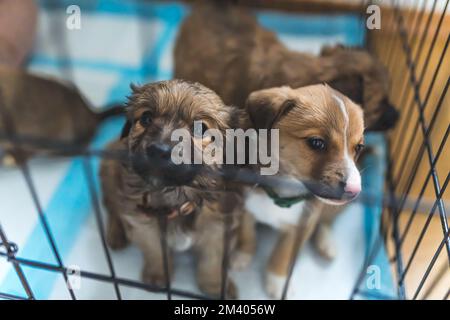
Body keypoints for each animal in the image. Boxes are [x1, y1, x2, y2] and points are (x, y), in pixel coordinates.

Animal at [100, 79, 250, 298]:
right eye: (146, 118)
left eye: (201, 129)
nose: (158, 150)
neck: (176, 194)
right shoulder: (143, 223)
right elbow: (155, 251)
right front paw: (158, 275)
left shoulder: (219, 226)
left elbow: (212, 260)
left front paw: (214, 285)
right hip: (109, 170)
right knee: (113, 206)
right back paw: (116, 234)